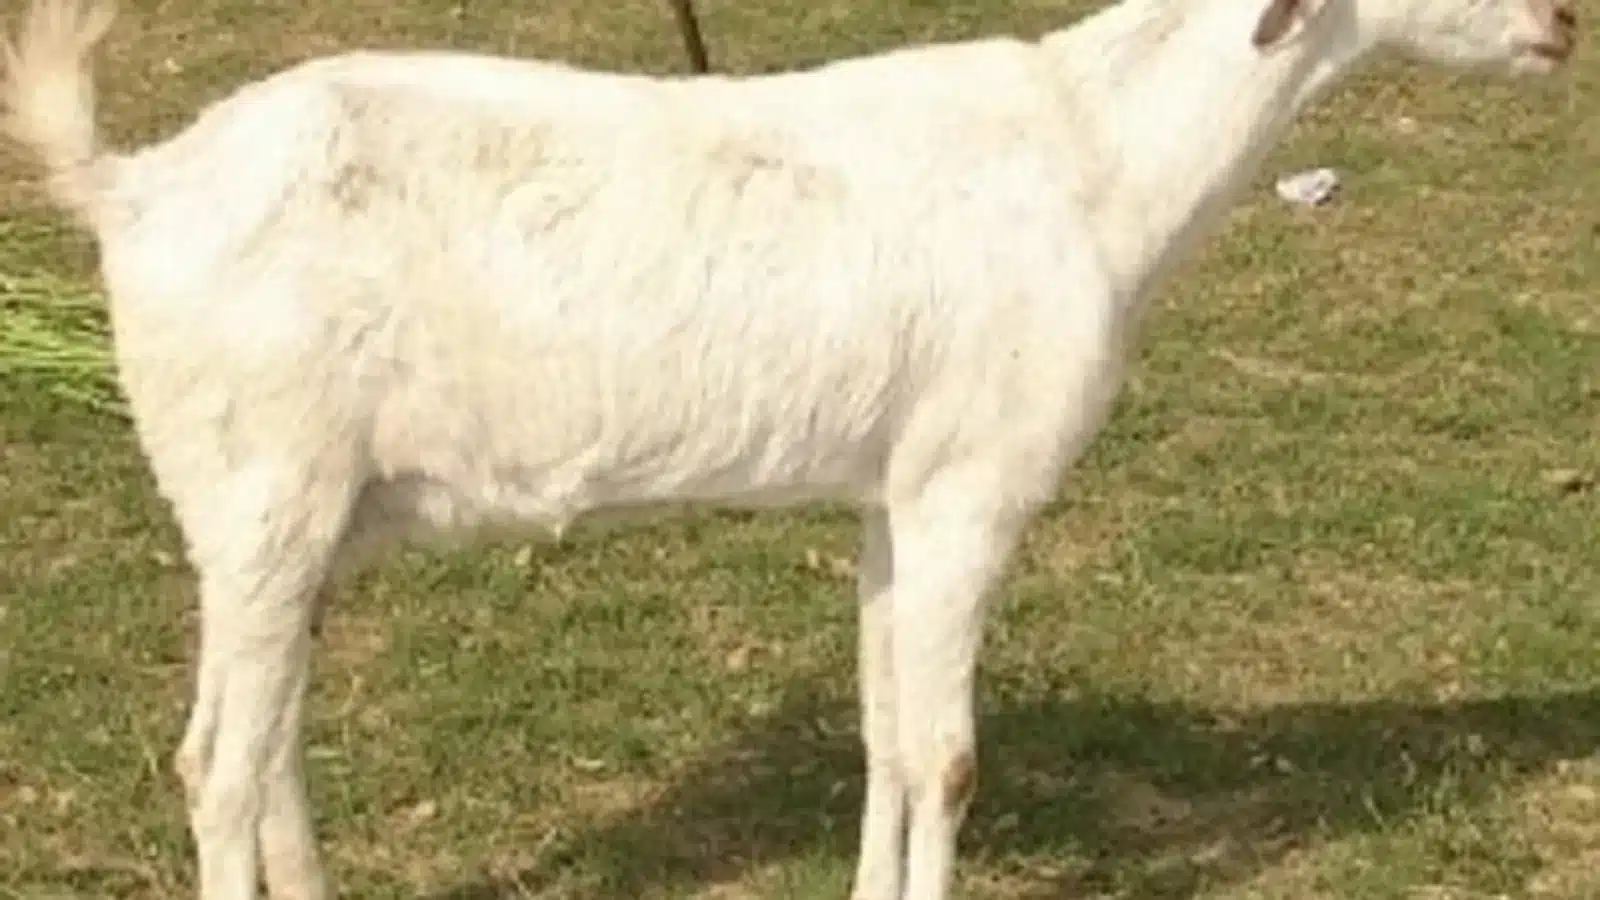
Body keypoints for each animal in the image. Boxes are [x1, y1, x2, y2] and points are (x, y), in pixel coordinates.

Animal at [1, 0, 1578, 898]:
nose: (1563, 21)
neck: (1093, 154)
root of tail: (135, 186)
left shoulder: (894, 493)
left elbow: (887, 738)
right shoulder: (970, 489)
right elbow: (947, 756)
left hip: (297, 517)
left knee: (264, 752)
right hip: (261, 491)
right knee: (215, 767)